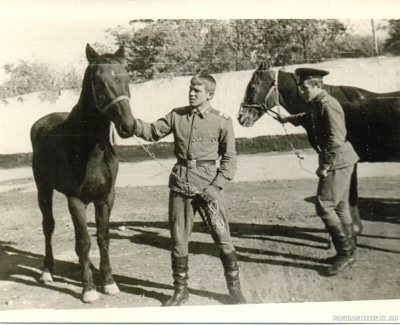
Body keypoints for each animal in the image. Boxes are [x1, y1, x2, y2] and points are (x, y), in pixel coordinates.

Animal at [30, 43, 136, 302]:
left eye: (126, 77)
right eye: (99, 81)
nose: (128, 126)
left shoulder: (106, 198)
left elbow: (103, 237)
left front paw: (109, 282)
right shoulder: (76, 200)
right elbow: (84, 242)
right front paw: (88, 288)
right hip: (43, 189)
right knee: (48, 226)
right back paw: (47, 271)